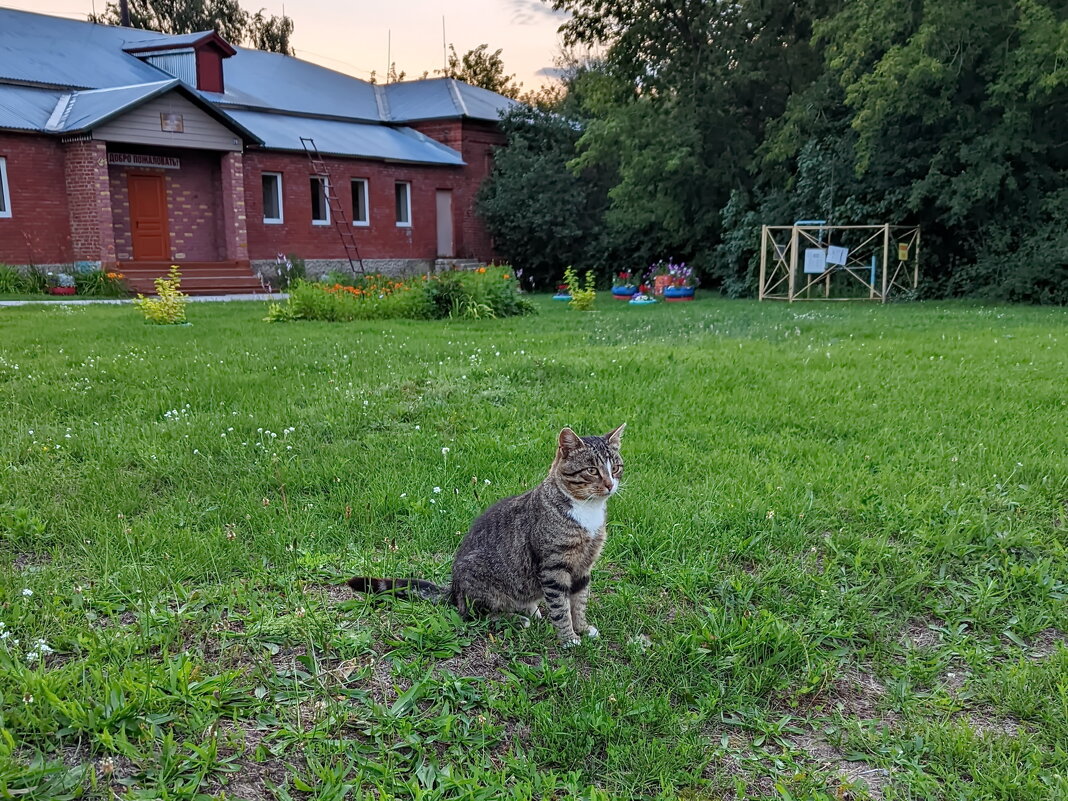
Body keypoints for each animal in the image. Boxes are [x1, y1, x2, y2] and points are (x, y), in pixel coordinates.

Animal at [346, 427, 623, 645]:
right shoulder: (554, 566)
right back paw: (516, 618)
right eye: (592, 470)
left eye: (616, 468)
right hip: (480, 583)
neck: (587, 512)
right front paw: (568, 638)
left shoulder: (584, 565)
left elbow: (579, 601)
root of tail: (454, 590)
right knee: (475, 614)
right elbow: (560, 607)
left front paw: (582, 628)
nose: (610, 485)